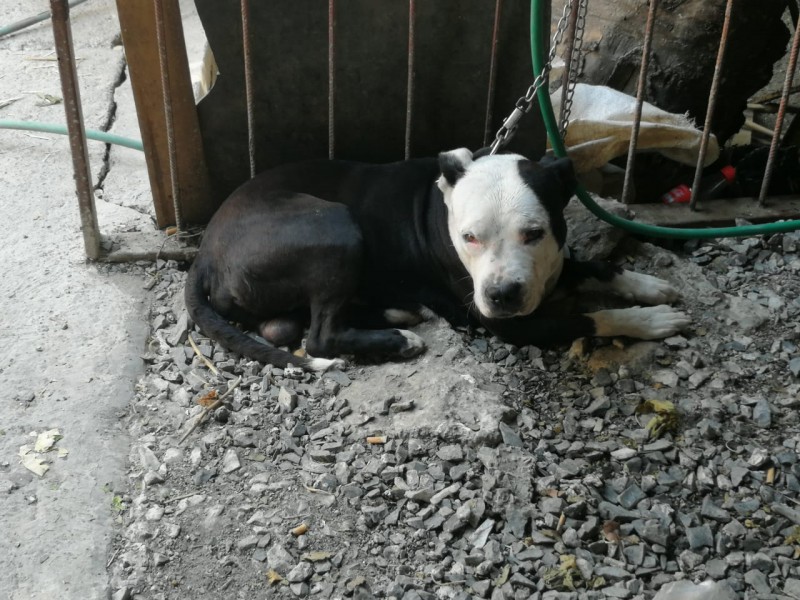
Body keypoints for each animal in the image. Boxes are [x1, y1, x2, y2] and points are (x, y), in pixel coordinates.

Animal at [186, 148, 688, 370]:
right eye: (469, 238)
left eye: (535, 233)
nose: (501, 294)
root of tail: (204, 254)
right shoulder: (511, 326)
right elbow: (589, 318)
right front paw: (649, 320)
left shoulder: (553, 265)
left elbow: (597, 267)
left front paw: (647, 286)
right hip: (335, 224)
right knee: (319, 338)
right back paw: (396, 339)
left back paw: (393, 313)